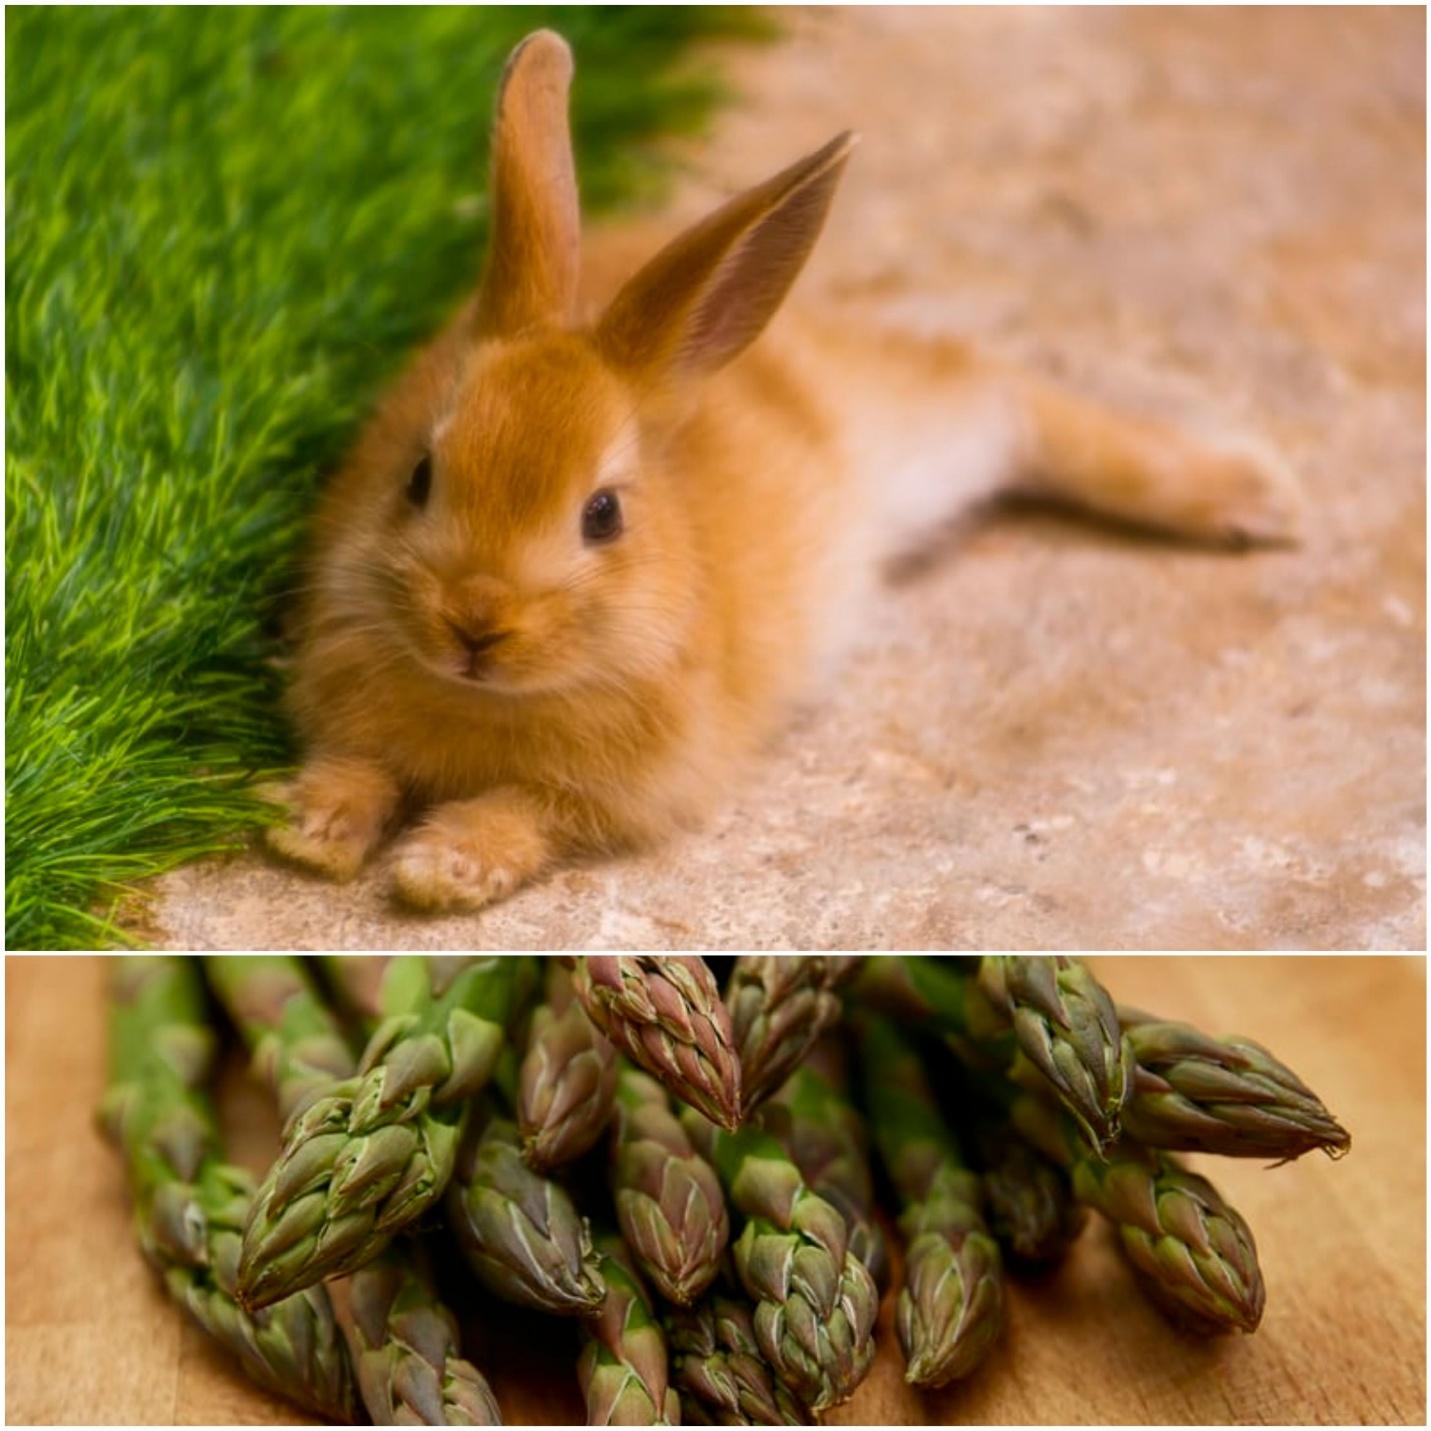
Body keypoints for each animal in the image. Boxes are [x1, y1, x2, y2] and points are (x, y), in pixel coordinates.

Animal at [266, 30, 1304, 913]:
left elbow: (521, 813)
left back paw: (1254, 502)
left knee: (1007, 394)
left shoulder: (620, 789)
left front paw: (440, 869)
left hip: (918, 441)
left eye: (602, 515)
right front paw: (307, 830)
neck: (486, 695)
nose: (475, 622)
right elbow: (359, 768)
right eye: (418, 475)